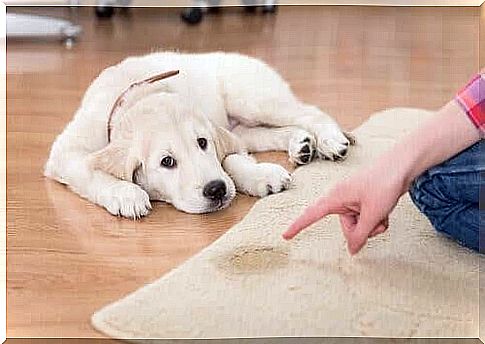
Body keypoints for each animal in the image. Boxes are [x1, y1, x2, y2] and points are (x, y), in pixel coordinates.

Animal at [44, 51, 352, 218]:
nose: (216, 190)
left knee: (310, 112)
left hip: (252, 99)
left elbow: (230, 160)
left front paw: (259, 175)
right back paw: (301, 144)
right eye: (167, 162)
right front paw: (126, 194)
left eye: (202, 143)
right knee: (266, 132)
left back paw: (330, 140)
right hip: (244, 124)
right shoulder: (65, 153)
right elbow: (90, 171)